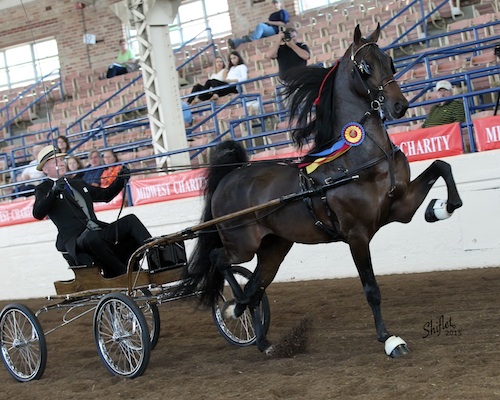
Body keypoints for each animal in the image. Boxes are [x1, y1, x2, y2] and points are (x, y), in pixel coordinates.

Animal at [186, 25, 462, 356]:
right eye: (365, 67)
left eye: (390, 62)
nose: (400, 106)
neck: (361, 157)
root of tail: (232, 175)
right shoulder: (357, 234)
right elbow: (371, 289)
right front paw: (389, 339)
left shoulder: (401, 206)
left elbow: (442, 166)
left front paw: (440, 209)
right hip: (242, 245)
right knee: (220, 260)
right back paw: (233, 306)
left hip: (275, 247)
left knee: (257, 284)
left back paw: (261, 338)